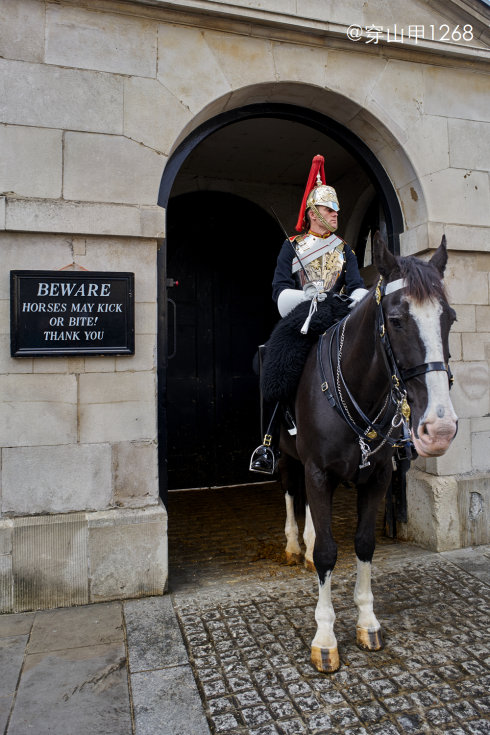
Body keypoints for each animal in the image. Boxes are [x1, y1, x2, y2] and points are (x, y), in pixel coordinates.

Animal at [280, 234, 460, 672]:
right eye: (395, 320)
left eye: (448, 318)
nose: (439, 428)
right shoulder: (318, 471)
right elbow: (328, 552)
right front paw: (325, 638)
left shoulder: (377, 476)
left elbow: (363, 544)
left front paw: (367, 621)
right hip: (287, 455)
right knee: (290, 491)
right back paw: (294, 545)